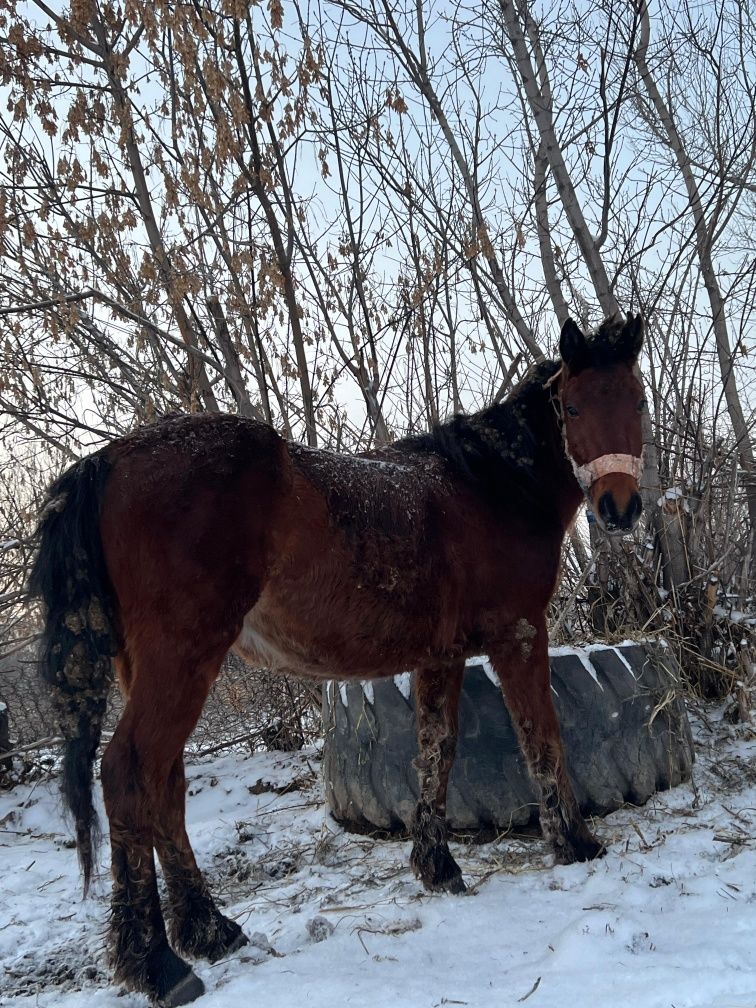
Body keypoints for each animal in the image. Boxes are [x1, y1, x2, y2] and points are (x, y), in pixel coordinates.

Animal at [28, 310, 645, 1003]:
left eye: (637, 401)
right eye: (573, 406)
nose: (619, 508)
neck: (489, 487)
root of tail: (109, 459)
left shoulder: (440, 656)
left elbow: (437, 750)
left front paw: (437, 866)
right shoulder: (518, 635)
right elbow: (543, 737)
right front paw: (575, 845)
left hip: (150, 669)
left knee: (165, 782)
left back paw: (211, 931)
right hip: (181, 660)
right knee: (129, 773)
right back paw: (158, 963)